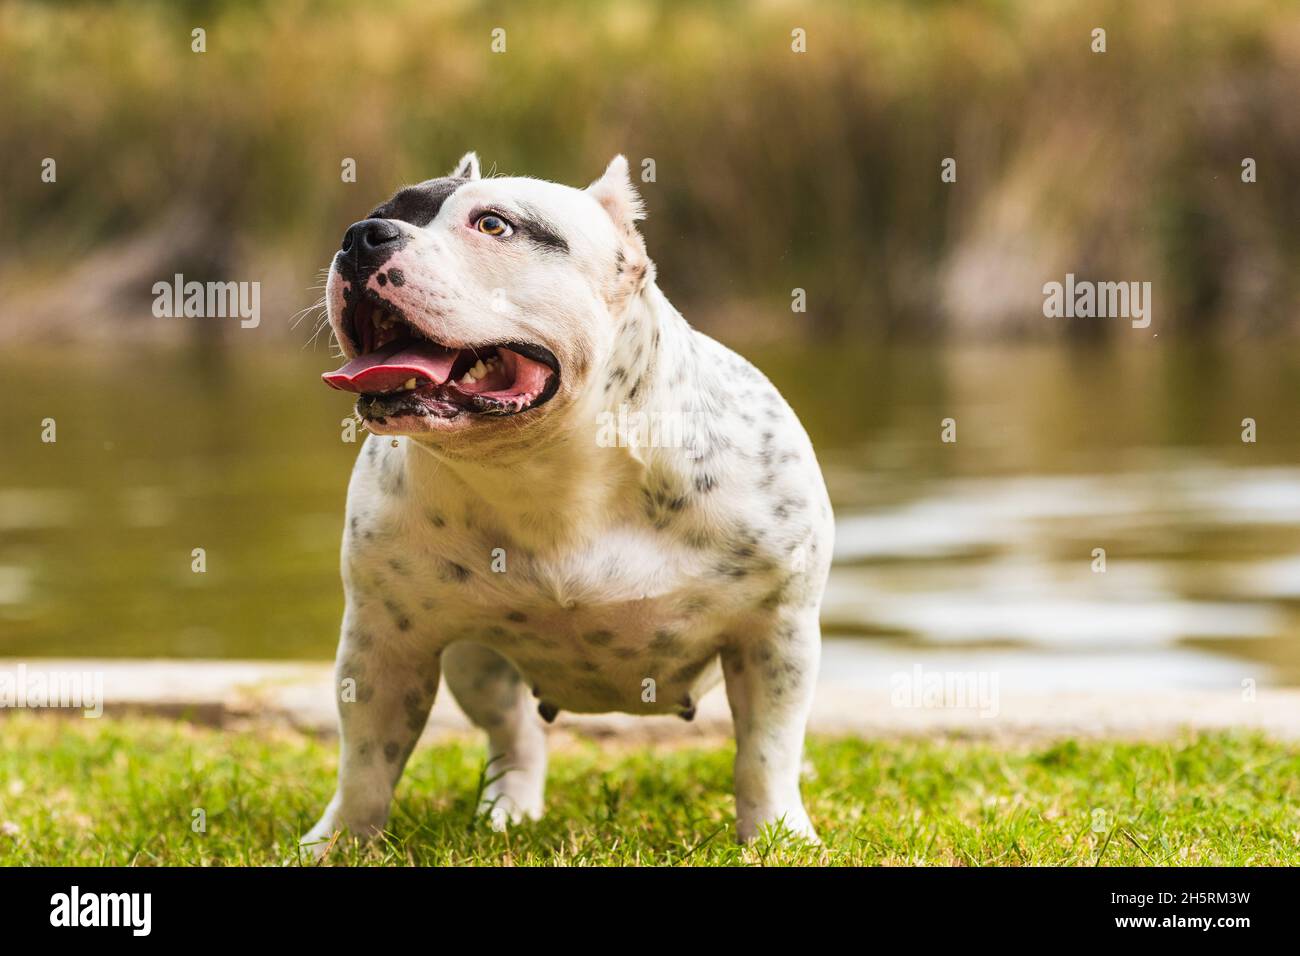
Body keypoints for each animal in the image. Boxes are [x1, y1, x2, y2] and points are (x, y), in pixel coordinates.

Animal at [301, 151, 832, 853]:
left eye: (493, 225)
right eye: (382, 212)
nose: (361, 236)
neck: (544, 468)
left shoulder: (773, 632)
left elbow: (765, 753)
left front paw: (779, 834)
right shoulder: (385, 641)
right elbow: (365, 760)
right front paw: (338, 842)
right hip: (476, 665)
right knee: (515, 735)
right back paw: (510, 806)